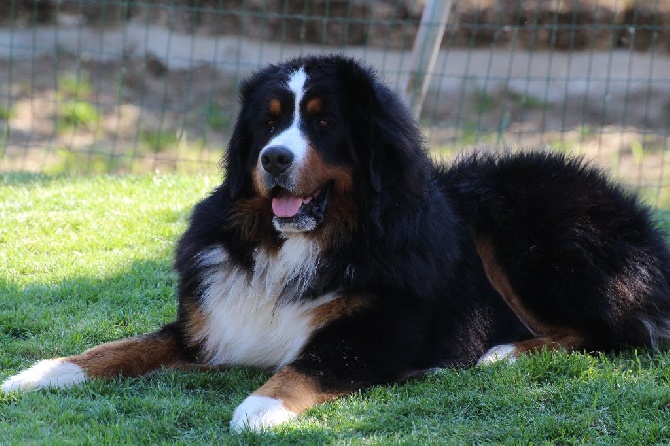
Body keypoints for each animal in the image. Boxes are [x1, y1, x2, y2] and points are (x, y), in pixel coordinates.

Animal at [3, 54, 670, 430]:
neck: (296, 246)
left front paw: (258, 409)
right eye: (269, 121)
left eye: (324, 122)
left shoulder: (384, 328)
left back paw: (505, 353)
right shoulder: (210, 321)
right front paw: (39, 374)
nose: (274, 159)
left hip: (525, 228)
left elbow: (314, 362)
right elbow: (116, 348)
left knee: (616, 334)